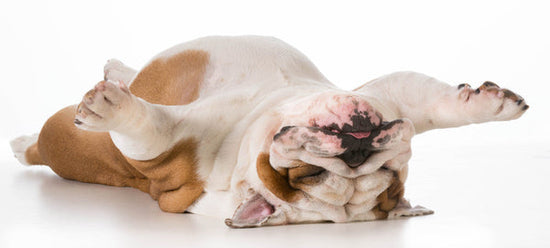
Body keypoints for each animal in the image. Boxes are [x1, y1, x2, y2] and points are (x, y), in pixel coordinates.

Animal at [9, 35, 532, 227]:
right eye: (304, 175)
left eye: (387, 173)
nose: (356, 149)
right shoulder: (391, 97)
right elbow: (152, 133)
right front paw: (494, 102)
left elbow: (150, 133)